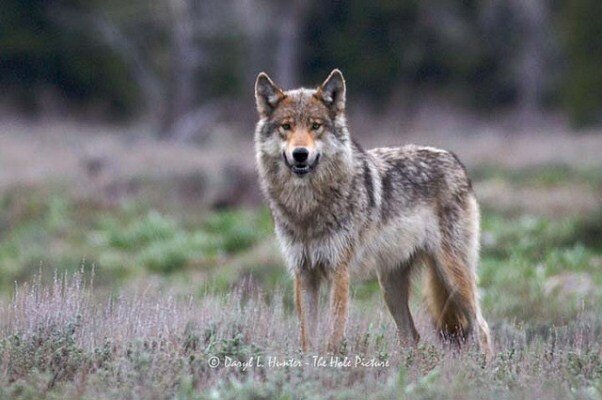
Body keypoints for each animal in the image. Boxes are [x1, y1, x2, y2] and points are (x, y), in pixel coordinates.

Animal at [251, 69, 490, 356]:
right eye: (286, 126)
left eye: (315, 126)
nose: (300, 154)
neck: (307, 207)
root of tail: (455, 160)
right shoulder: (304, 273)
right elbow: (307, 338)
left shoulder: (339, 272)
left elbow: (334, 335)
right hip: (391, 287)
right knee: (412, 336)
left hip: (453, 276)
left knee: (482, 327)